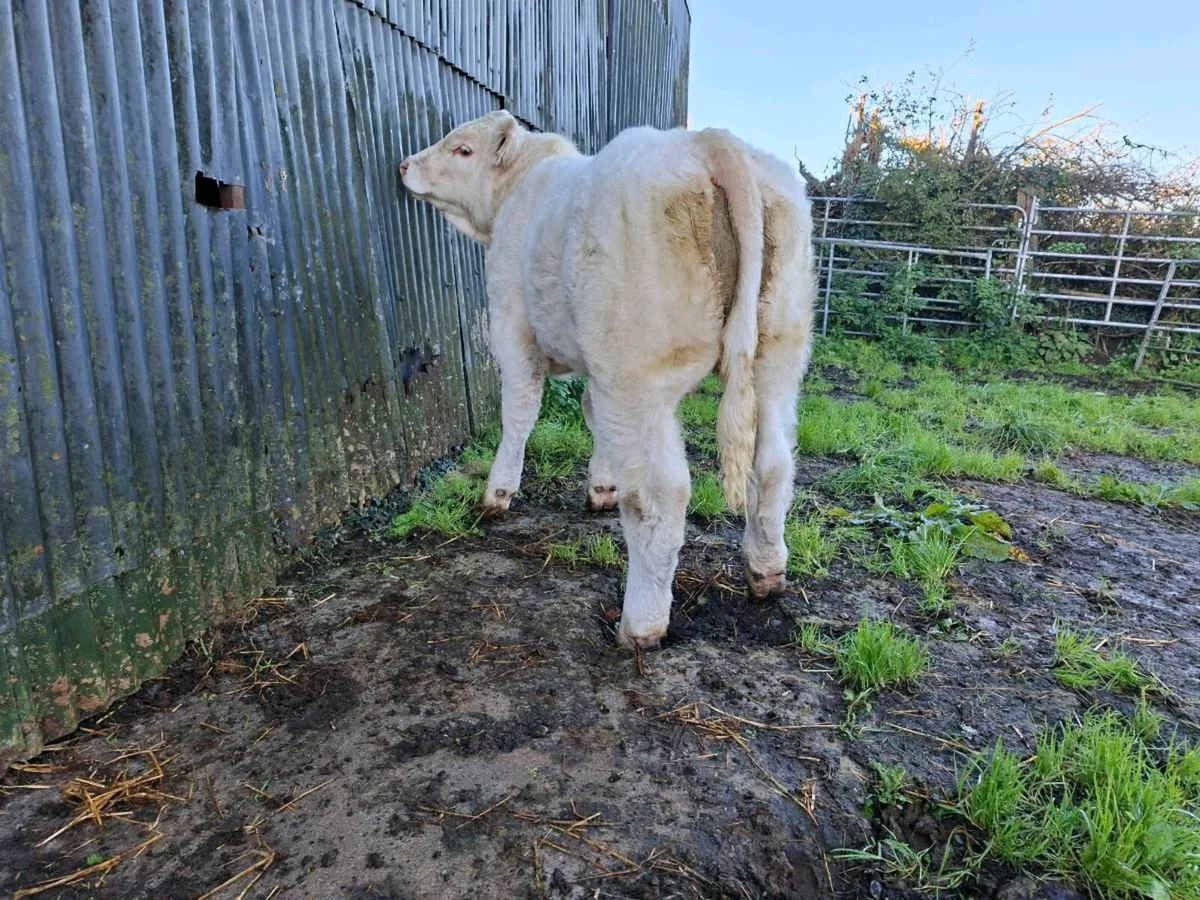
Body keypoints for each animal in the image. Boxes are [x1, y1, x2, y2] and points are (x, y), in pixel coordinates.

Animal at [400, 111, 815, 650]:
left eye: (463, 149)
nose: (404, 165)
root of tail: (709, 142)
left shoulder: (512, 327)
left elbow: (519, 413)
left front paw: (497, 494)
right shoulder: (596, 367)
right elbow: (592, 414)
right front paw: (602, 486)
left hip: (639, 376)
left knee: (661, 497)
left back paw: (641, 623)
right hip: (778, 358)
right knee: (773, 465)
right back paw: (765, 571)